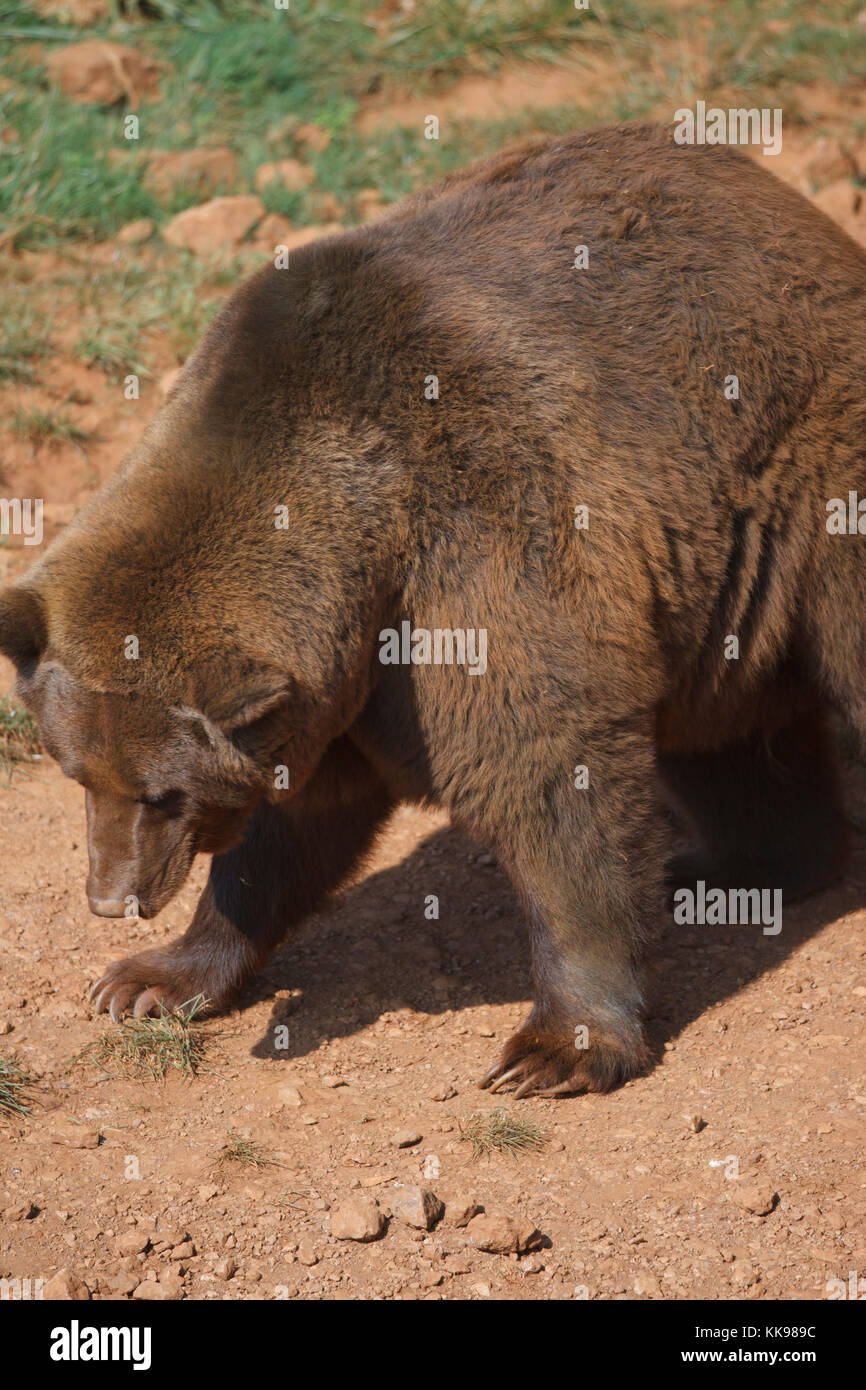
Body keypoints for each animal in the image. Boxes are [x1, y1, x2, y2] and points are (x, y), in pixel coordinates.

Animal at [0, 125, 861, 1095]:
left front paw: (557, 1047)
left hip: (811, 474)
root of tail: (801, 213)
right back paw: (742, 864)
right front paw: (149, 981)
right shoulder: (335, 692)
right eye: (79, 774)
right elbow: (294, 828)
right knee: (730, 743)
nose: (113, 899)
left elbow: (545, 774)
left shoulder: (484, 541)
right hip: (716, 587)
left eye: (164, 793)